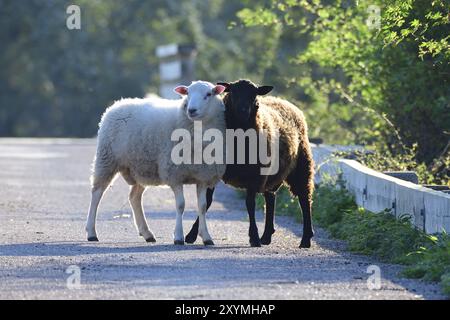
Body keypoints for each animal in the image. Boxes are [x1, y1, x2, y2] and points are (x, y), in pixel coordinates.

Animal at [85, 80, 225, 245]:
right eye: (187, 94)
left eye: (209, 94)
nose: (191, 110)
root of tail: (117, 104)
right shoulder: (174, 174)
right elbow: (180, 205)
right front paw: (178, 236)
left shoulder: (203, 175)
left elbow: (202, 207)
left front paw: (207, 237)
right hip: (107, 159)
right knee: (96, 193)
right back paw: (91, 232)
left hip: (140, 167)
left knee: (134, 197)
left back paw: (147, 233)